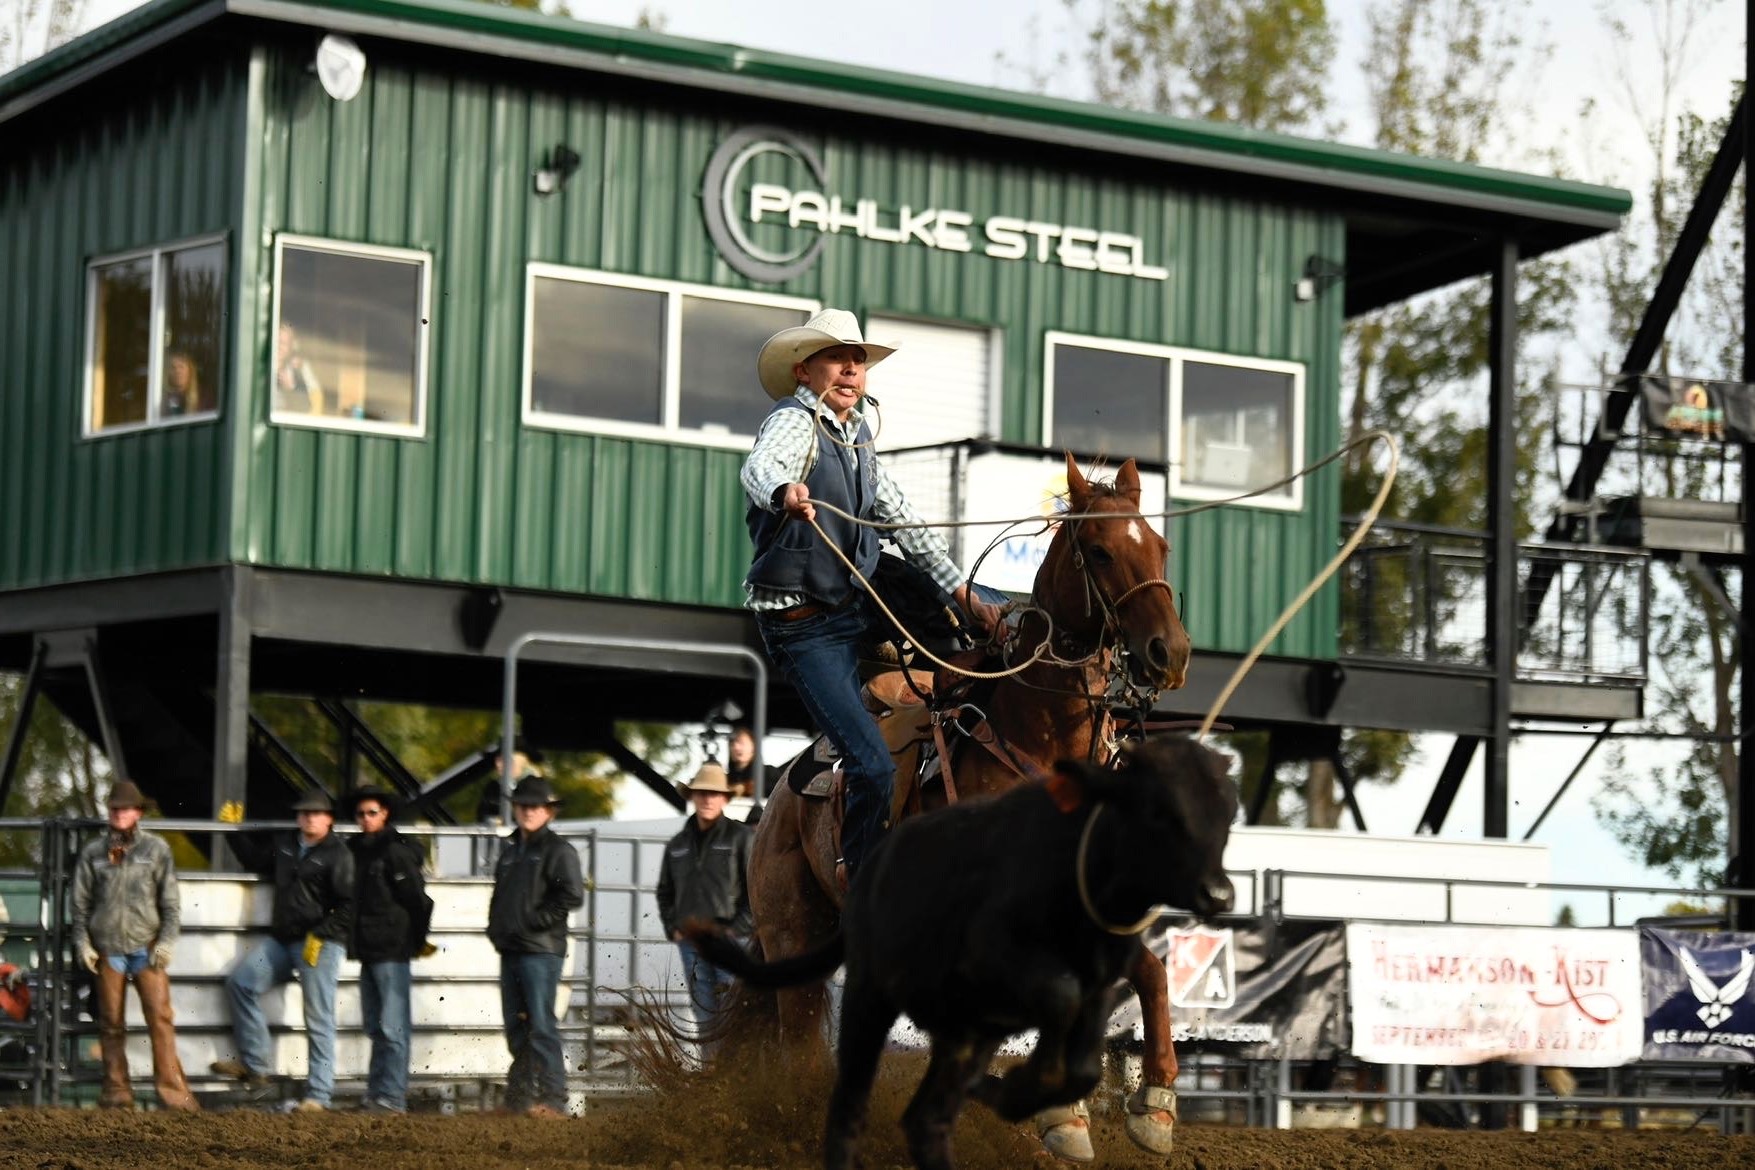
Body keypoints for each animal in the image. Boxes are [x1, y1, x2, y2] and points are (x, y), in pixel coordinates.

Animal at [747, 452, 1200, 1157]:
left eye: (1159, 545)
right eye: (1099, 551)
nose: (1168, 652)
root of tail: (773, 807)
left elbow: (1151, 973)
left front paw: (1153, 1107)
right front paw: (1065, 1116)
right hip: (791, 931)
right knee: (798, 1049)